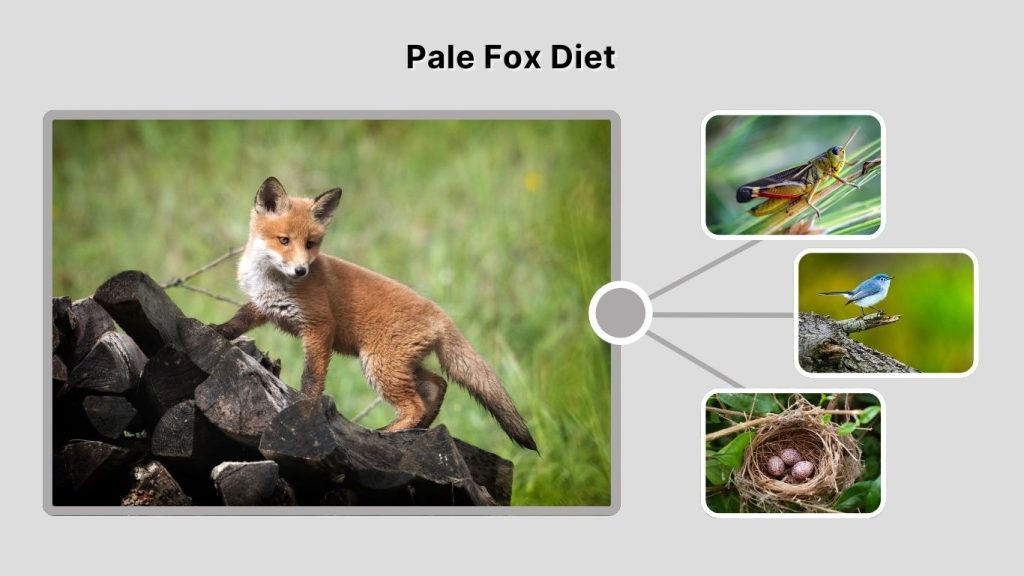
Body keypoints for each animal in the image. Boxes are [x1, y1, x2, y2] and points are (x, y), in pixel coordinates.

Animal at [214, 177, 537, 451]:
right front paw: (218, 331)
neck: (272, 282)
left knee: (416, 404)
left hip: (378, 364)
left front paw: (304, 405)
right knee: (437, 385)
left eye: (310, 244)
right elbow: (239, 319)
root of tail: (442, 316)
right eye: (284, 240)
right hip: (397, 364)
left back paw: (388, 432)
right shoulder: (264, 306)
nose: (301, 270)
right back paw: (415, 429)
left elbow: (312, 377)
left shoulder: (320, 326)